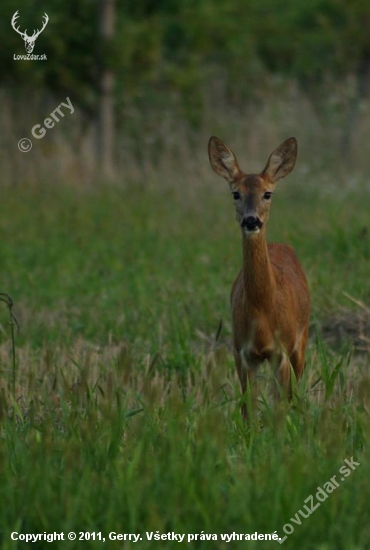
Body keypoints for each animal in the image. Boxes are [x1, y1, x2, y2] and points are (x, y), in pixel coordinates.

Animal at [208, 137, 310, 418]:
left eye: (267, 193)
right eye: (235, 193)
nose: (251, 220)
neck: (263, 308)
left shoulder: (282, 351)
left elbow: (280, 407)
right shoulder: (243, 351)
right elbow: (248, 408)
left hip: (301, 340)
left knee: (294, 395)